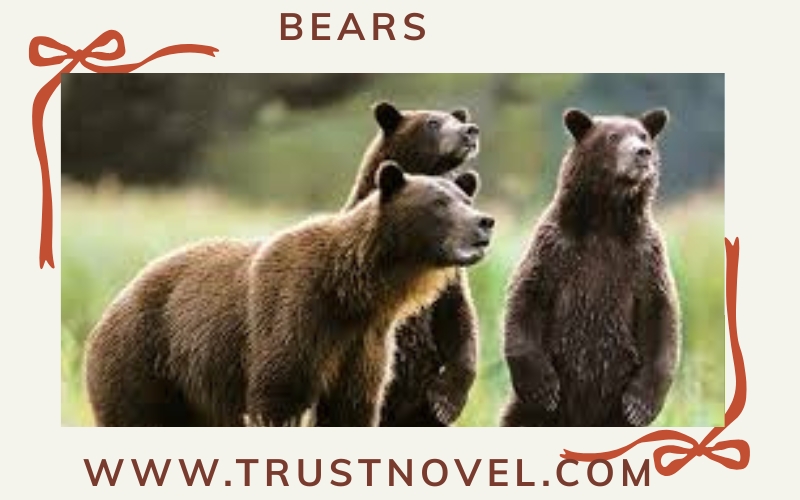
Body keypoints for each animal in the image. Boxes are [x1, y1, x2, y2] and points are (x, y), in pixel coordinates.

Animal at [83, 161, 495, 427]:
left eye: (465, 199)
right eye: (439, 202)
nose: (484, 223)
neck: (353, 294)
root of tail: (113, 304)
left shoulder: (363, 342)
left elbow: (352, 408)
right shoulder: (296, 312)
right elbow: (279, 393)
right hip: (145, 358)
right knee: (134, 414)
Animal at [342, 101, 483, 427]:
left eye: (456, 117)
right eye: (433, 122)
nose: (470, 130)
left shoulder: (448, 280)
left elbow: (460, 321)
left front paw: (446, 401)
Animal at [500, 107, 681, 427]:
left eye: (643, 135)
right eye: (613, 136)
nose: (642, 153)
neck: (605, 221)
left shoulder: (644, 257)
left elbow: (660, 313)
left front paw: (641, 404)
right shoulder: (555, 250)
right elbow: (527, 296)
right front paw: (542, 387)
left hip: (613, 412)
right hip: (534, 414)